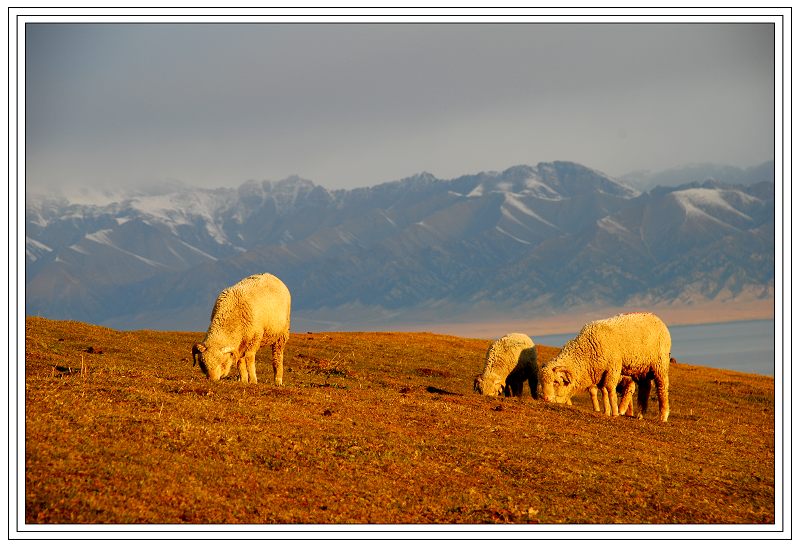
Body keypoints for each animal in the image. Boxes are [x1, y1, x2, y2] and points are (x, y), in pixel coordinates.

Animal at [536, 312, 668, 424]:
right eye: (542, 382)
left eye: (556, 382)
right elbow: (603, 391)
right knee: (645, 388)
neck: (587, 351)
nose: (545, 398)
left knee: (662, 388)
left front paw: (615, 413)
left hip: (660, 364)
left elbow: (610, 389)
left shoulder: (613, 367)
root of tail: (657, 318)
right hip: (641, 369)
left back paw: (663, 416)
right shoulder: (600, 373)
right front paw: (606, 411)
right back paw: (640, 414)